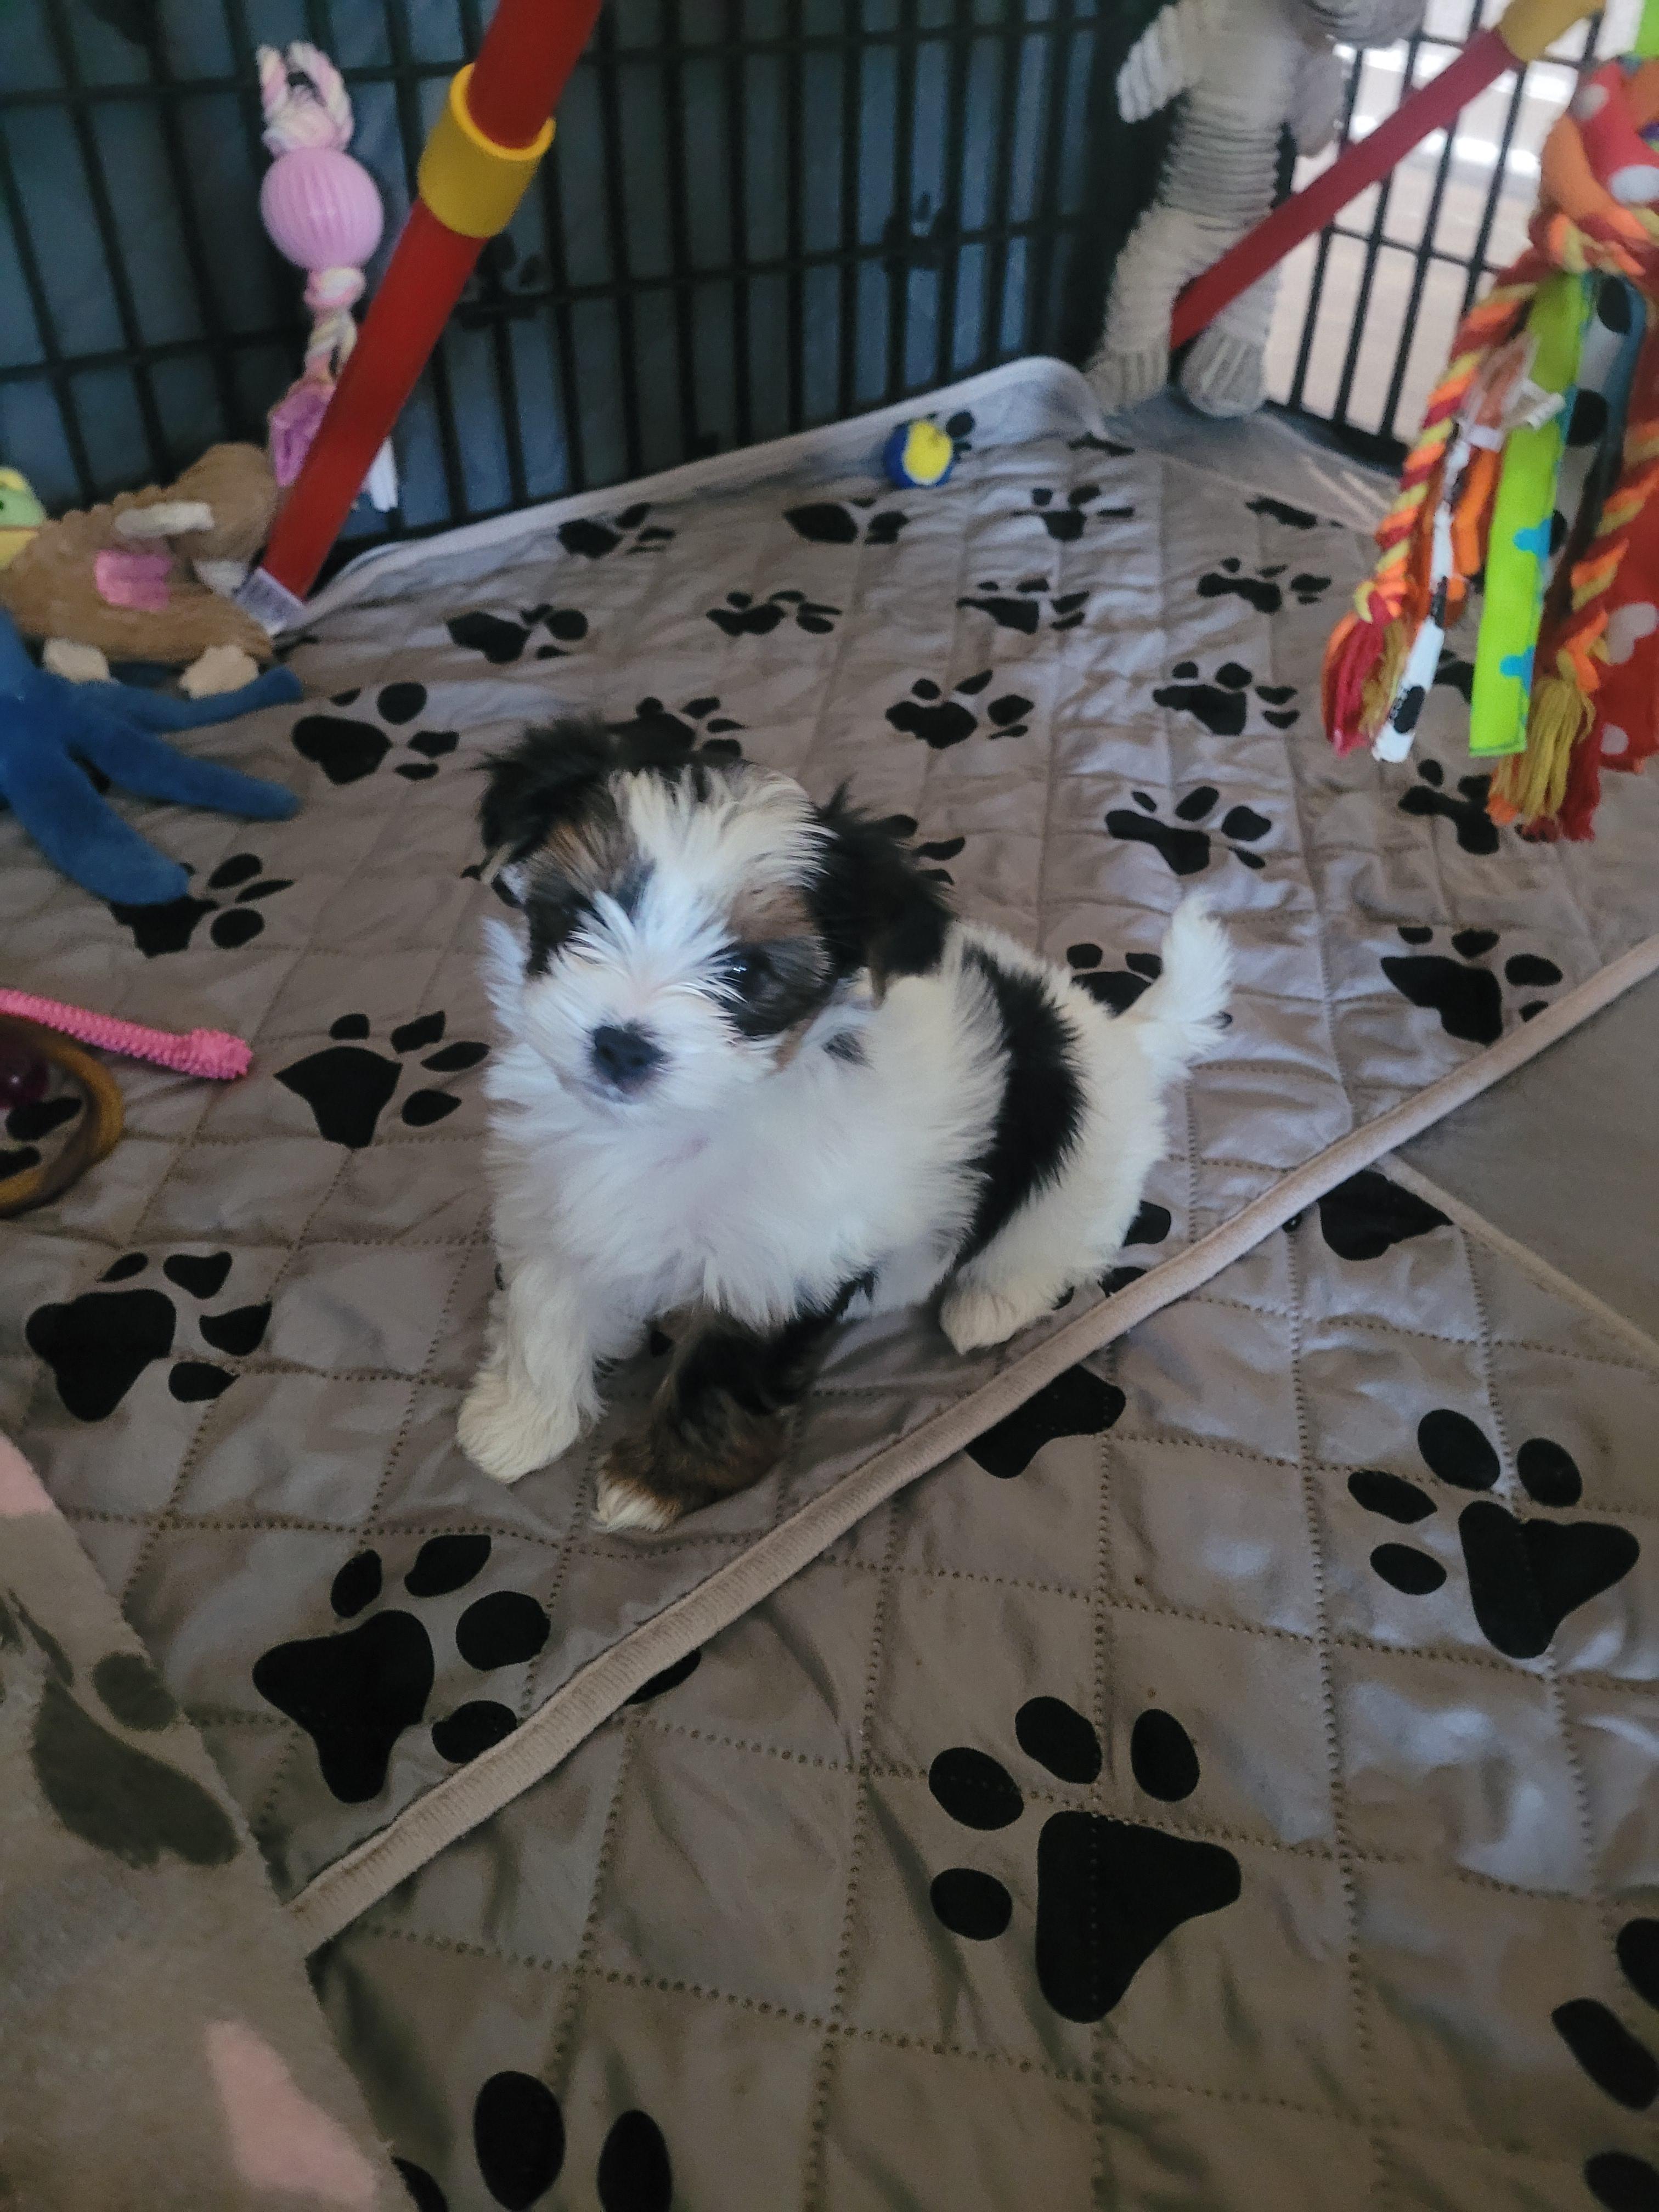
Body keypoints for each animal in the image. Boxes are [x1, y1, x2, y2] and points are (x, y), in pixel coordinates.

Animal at [458, 717, 1232, 1531]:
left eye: (746, 972)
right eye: (580, 914)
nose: (621, 1045)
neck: (679, 1120)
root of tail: (1118, 1037)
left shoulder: (779, 1266)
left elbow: (718, 1377)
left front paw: (654, 1485)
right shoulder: (553, 1198)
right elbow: (544, 1304)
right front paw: (517, 1423)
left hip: (1080, 1172)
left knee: (1052, 1242)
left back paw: (988, 1304)